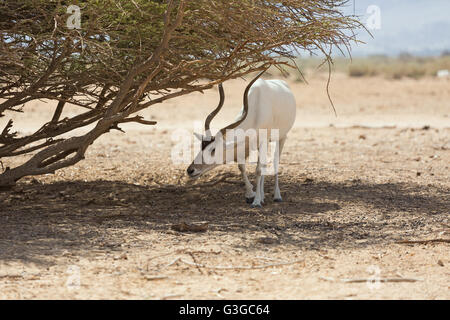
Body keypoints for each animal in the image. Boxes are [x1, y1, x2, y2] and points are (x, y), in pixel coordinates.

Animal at [185, 70, 298, 208]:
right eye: (201, 146)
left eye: (213, 150)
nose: (190, 170)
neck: (255, 109)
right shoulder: (245, 146)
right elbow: (242, 167)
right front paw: (251, 195)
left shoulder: (263, 141)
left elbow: (258, 170)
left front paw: (256, 202)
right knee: (265, 164)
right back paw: (263, 195)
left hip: (281, 137)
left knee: (275, 162)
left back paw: (277, 196)